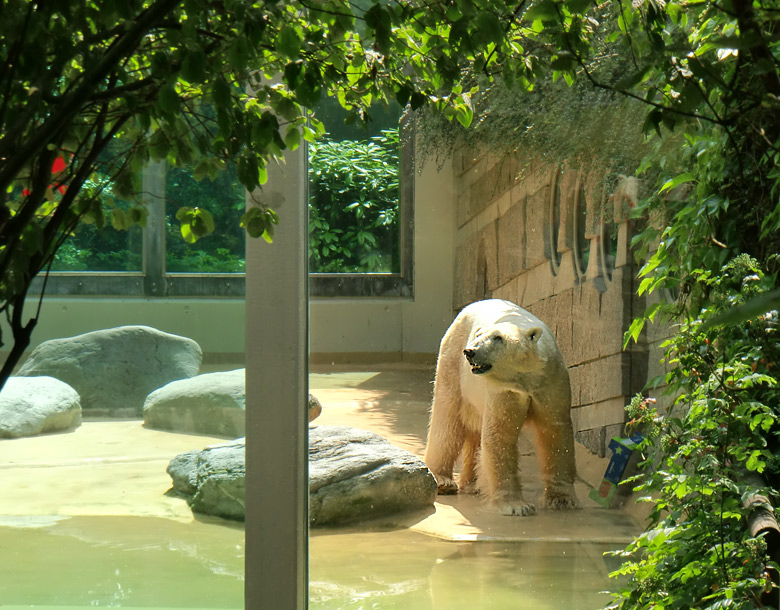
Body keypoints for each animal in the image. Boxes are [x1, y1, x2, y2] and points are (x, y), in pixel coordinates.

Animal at [424, 298, 576, 512]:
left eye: (498, 338)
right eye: (478, 335)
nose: (470, 351)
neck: (526, 378)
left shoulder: (550, 382)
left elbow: (554, 431)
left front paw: (561, 500)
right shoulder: (505, 389)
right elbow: (500, 434)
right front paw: (516, 506)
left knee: (474, 430)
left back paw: (472, 484)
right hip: (452, 367)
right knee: (447, 420)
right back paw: (443, 480)